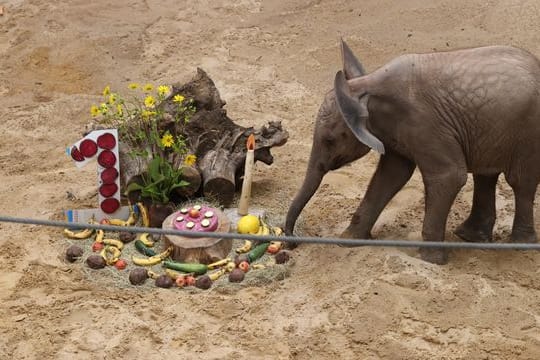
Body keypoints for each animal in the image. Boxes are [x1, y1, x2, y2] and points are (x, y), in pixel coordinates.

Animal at [284, 40, 536, 264]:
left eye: (329, 140)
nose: (292, 243)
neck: (366, 86)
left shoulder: (425, 123)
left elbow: (449, 177)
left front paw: (430, 260)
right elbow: (391, 175)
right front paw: (347, 241)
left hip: (528, 131)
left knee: (520, 181)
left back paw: (519, 246)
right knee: (486, 176)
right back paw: (469, 237)